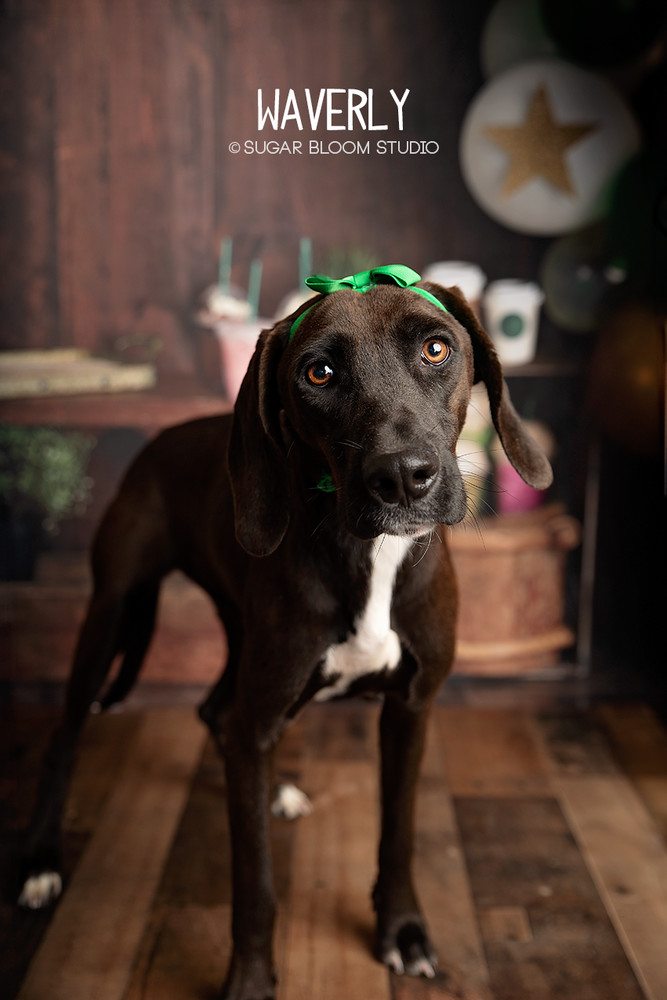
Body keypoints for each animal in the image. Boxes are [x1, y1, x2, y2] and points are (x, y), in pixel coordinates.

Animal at [20, 280, 552, 1000]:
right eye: (318, 373)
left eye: (436, 348)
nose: (402, 476)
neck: (369, 556)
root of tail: (161, 440)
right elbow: (255, 883)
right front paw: (249, 979)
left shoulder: (411, 709)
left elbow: (399, 833)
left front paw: (403, 932)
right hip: (111, 612)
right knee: (70, 736)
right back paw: (42, 863)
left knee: (220, 712)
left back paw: (270, 789)